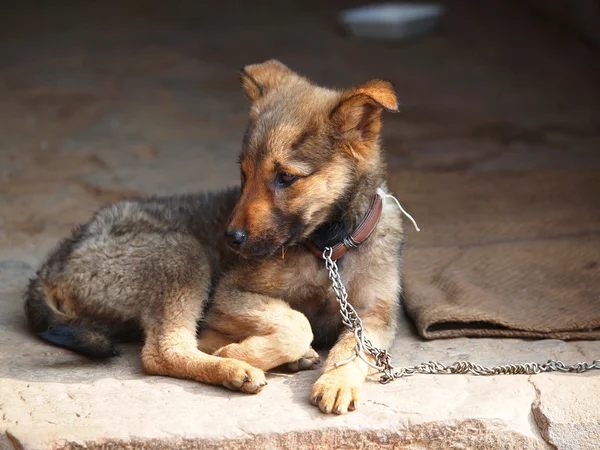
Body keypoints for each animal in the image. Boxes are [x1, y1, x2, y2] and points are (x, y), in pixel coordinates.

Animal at [25, 59, 406, 414]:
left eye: (286, 177)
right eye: (244, 173)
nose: (230, 238)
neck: (328, 247)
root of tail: (54, 262)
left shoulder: (375, 316)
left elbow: (352, 348)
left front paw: (337, 383)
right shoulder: (230, 291)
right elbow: (297, 322)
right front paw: (245, 352)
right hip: (182, 255)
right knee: (163, 351)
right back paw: (235, 367)